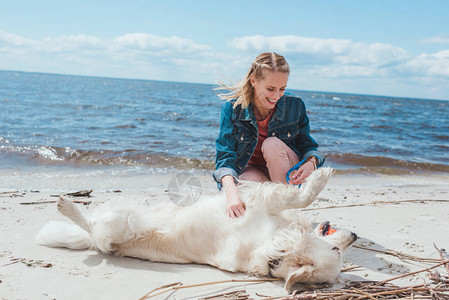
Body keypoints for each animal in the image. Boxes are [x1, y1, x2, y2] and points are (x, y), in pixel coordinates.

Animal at [36, 168, 356, 290]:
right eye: (336, 249)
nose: (354, 235)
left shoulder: (266, 205)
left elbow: (300, 196)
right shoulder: (264, 204)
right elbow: (301, 197)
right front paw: (320, 175)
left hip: (120, 222)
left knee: (92, 227)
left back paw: (67, 206)